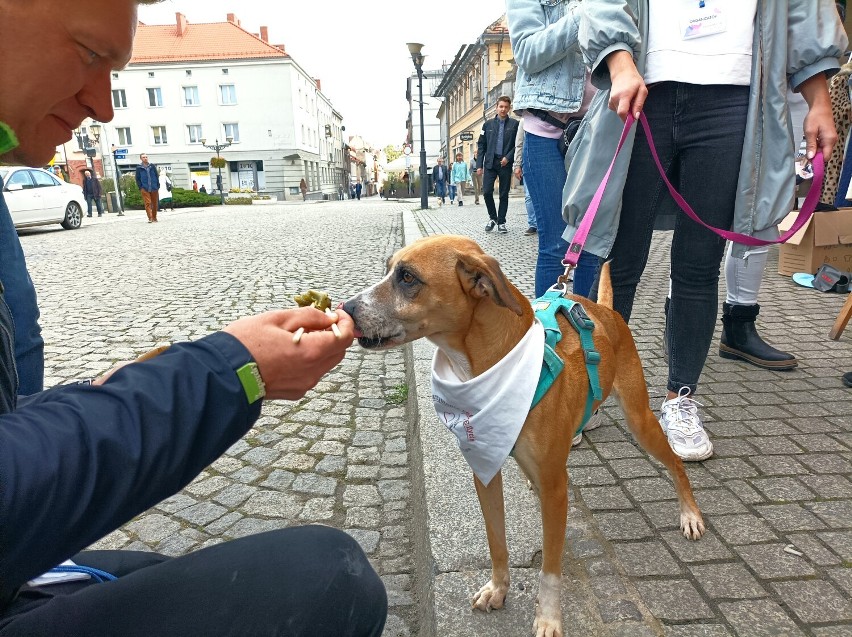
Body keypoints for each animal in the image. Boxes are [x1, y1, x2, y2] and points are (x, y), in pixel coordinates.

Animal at [342, 235, 704, 636]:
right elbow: (497, 542)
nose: (345, 308)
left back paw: (690, 513)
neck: (488, 367)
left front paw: (548, 616)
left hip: (640, 420)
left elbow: (550, 568)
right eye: (389, 269)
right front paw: (498, 589)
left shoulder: (556, 489)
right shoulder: (485, 472)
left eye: (407, 277)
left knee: (675, 463)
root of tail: (608, 313)